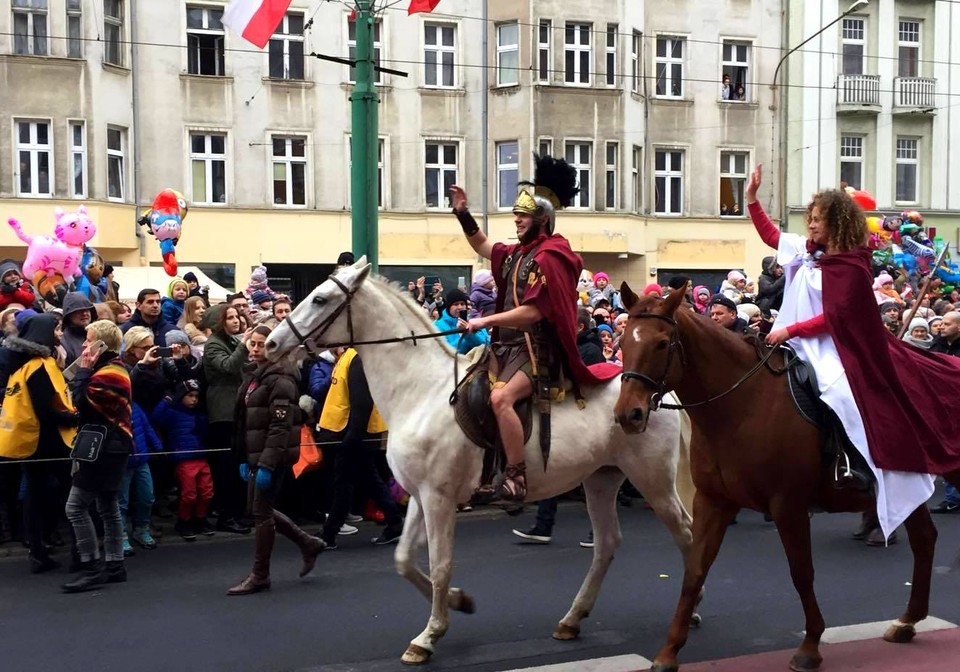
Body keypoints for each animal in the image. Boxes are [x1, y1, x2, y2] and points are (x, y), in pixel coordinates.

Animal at [266, 260, 692, 664]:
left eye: (320, 299)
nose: (271, 343)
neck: (420, 391)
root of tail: (657, 393)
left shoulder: (438, 499)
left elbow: (439, 564)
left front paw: (428, 637)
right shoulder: (420, 496)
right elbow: (404, 560)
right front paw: (459, 601)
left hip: (653, 481)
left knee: (687, 533)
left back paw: (688, 610)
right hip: (601, 479)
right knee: (607, 543)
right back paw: (572, 619)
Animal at [612, 286, 956, 672]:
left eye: (661, 343)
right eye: (623, 340)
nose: (628, 414)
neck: (743, 405)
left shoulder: (788, 506)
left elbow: (801, 573)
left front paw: (810, 647)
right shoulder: (713, 501)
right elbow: (694, 571)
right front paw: (668, 652)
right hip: (905, 488)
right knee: (924, 540)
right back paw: (907, 622)